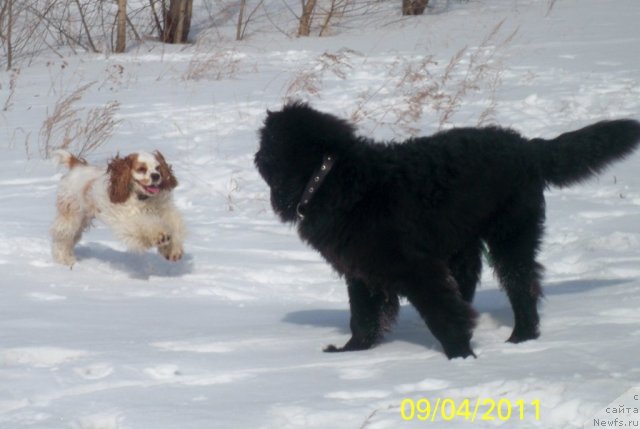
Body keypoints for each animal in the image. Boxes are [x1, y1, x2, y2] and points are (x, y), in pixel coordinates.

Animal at [50, 149, 185, 266]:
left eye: (158, 168)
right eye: (141, 169)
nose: (156, 176)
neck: (142, 198)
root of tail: (77, 166)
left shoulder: (165, 211)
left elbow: (174, 227)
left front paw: (172, 250)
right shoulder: (128, 219)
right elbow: (147, 225)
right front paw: (160, 235)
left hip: (81, 220)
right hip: (71, 216)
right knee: (62, 238)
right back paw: (65, 260)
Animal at [255, 103, 640, 358]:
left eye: (266, 142)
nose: (255, 156)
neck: (334, 178)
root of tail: (526, 146)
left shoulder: (415, 267)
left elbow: (440, 312)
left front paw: (460, 356)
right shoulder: (361, 271)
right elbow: (362, 316)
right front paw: (351, 352)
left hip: (509, 236)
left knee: (522, 286)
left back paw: (520, 338)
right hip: (463, 248)